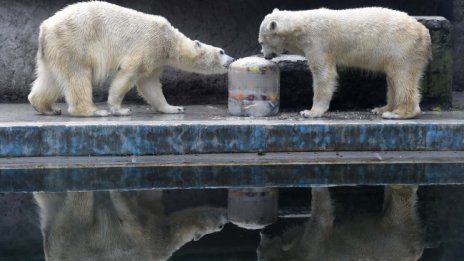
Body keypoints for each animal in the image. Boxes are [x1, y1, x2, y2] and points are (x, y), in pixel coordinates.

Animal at [27, 1, 234, 116]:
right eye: (221, 51)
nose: (232, 60)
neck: (169, 40)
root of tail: (44, 28)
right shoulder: (149, 45)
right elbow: (129, 73)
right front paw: (119, 109)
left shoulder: (156, 59)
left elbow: (150, 85)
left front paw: (174, 108)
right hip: (74, 43)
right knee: (77, 76)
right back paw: (94, 111)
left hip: (55, 49)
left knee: (50, 79)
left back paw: (47, 107)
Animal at [260, 7, 434, 119]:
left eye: (261, 42)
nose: (265, 55)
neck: (301, 27)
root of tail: (425, 33)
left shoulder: (318, 42)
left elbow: (324, 74)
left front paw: (310, 112)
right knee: (393, 78)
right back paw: (381, 108)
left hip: (402, 47)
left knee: (402, 77)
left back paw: (397, 113)